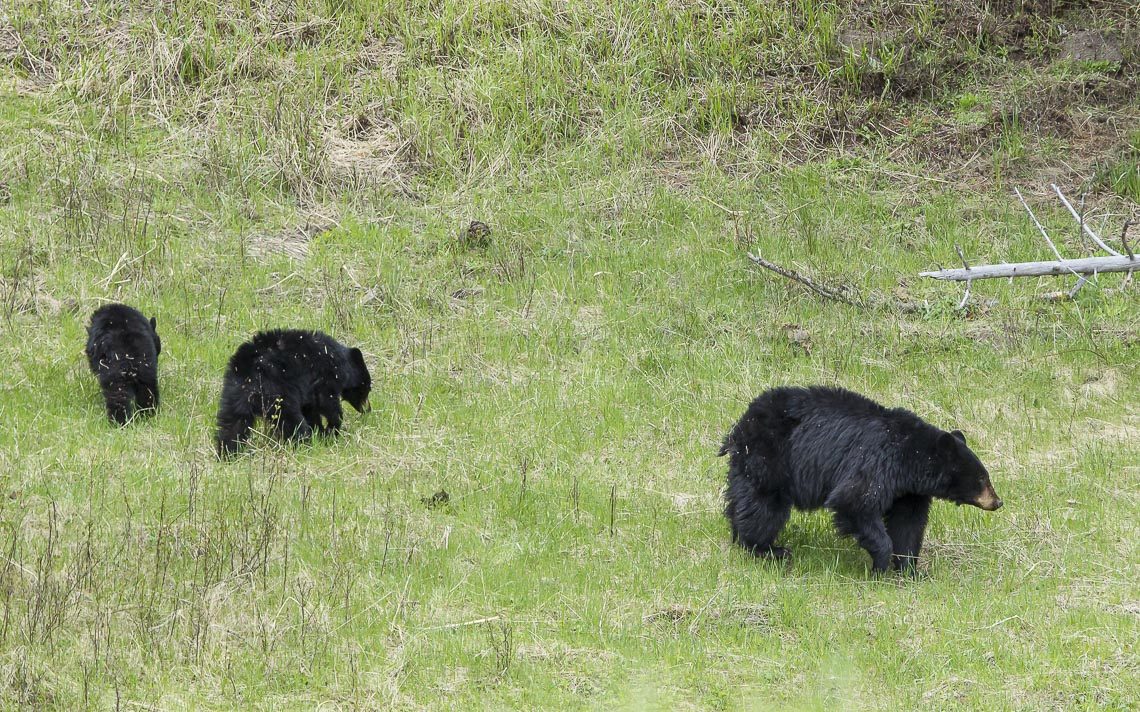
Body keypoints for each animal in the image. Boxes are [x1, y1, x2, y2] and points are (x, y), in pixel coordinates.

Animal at [215, 328, 371, 455]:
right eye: (366, 388)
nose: (368, 409)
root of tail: (252, 373)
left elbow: (311, 410)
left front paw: (320, 432)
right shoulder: (325, 376)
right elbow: (326, 402)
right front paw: (331, 429)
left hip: (234, 393)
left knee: (232, 423)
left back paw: (228, 452)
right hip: (278, 394)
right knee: (291, 422)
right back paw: (303, 444)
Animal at [715, 382, 1003, 571]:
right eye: (981, 478)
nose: (998, 502)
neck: (909, 456)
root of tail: (740, 426)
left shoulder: (908, 490)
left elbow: (908, 522)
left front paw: (909, 568)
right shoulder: (876, 462)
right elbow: (855, 502)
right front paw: (882, 563)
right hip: (771, 458)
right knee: (763, 507)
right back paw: (766, 549)